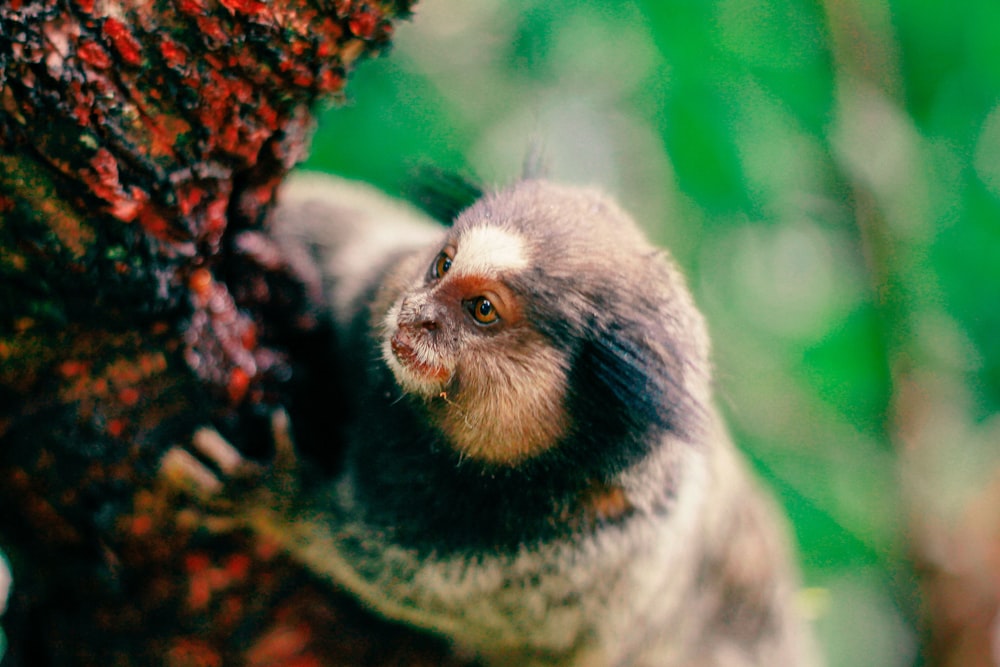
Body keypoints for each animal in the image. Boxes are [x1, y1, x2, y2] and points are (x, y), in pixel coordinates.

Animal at [262, 175, 816, 667]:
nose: (414, 314)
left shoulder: (577, 557)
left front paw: (279, 494)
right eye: (442, 265)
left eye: (482, 309)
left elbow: (391, 573)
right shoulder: (372, 291)